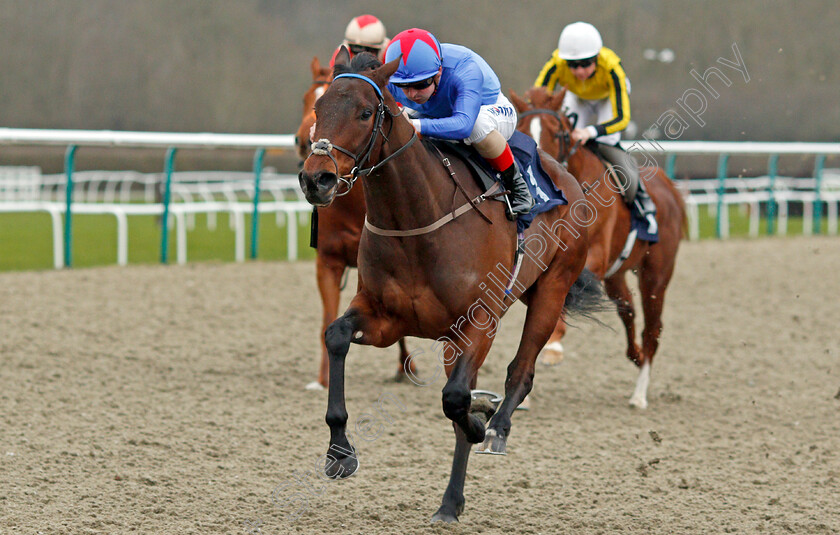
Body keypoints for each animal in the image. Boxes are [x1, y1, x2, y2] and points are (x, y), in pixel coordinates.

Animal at [296, 55, 412, 390]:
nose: (315, 177)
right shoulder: (328, 260)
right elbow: (328, 316)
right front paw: (322, 378)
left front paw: (405, 366)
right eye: (313, 104)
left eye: (365, 113)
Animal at [512, 86, 684, 408]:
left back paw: (639, 394)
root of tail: (668, 187)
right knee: (628, 311)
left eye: (557, 133)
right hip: (616, 275)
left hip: (656, 275)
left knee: (653, 328)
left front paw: (554, 346)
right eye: (523, 129)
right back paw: (635, 355)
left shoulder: (592, 259)